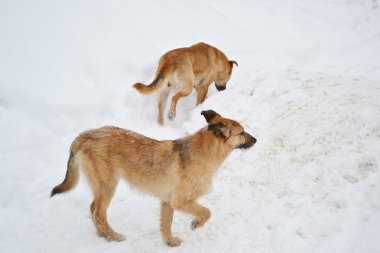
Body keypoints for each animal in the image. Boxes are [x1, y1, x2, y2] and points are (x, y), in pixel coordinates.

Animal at [49, 109, 255, 246]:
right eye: (242, 132)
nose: (256, 140)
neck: (205, 151)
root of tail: (84, 135)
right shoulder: (180, 201)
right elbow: (207, 212)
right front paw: (196, 224)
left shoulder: (168, 202)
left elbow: (166, 224)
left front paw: (170, 242)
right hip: (108, 185)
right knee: (97, 212)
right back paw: (113, 236)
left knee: (94, 210)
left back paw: (103, 235)